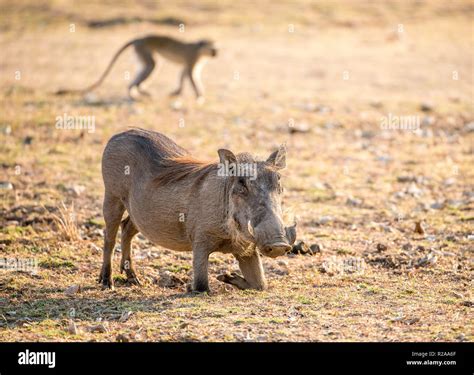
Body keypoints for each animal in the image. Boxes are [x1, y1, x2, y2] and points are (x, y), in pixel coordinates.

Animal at [55, 34, 217, 100]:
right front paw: (199, 95)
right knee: (153, 65)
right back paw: (137, 90)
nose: (216, 53)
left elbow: (184, 73)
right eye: (212, 48)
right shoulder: (193, 58)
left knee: (150, 66)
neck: (200, 50)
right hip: (143, 49)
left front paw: (177, 92)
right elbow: (190, 74)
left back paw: (133, 91)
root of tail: (139, 38)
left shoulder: (190, 61)